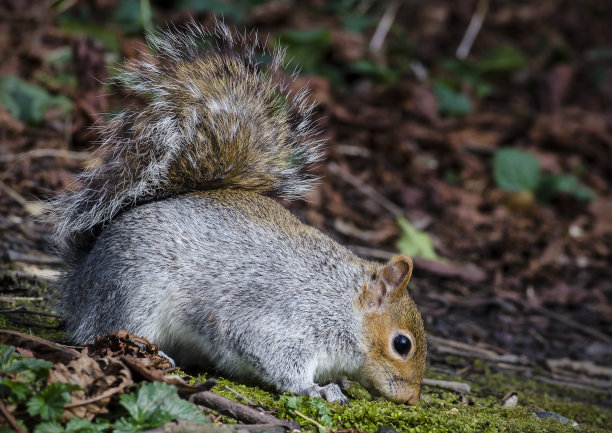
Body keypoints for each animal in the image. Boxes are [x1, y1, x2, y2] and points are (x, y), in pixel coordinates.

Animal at [46, 21, 426, 404]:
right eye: (402, 344)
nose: (411, 399)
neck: (343, 303)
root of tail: (80, 281)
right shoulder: (286, 317)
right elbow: (272, 355)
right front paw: (317, 388)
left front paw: (340, 382)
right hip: (132, 291)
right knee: (108, 329)